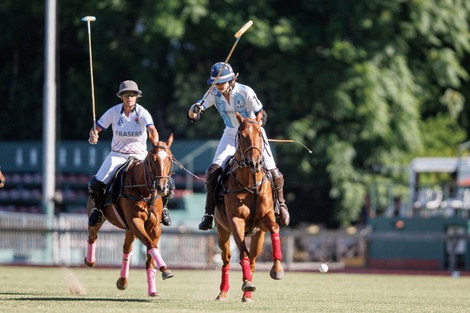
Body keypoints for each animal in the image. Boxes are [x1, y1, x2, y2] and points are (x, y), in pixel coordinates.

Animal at [84, 133, 174, 296]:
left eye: (169, 158)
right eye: (153, 158)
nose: (162, 187)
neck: (144, 190)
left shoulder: (154, 227)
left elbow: (150, 255)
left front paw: (153, 289)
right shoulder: (135, 221)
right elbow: (151, 245)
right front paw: (165, 269)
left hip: (129, 229)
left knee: (126, 248)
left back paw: (122, 281)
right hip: (100, 218)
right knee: (92, 234)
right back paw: (90, 260)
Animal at [215, 111, 284, 302]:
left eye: (260, 134)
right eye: (242, 135)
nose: (254, 163)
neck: (251, 184)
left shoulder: (265, 218)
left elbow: (275, 227)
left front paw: (277, 270)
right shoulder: (236, 220)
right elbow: (242, 254)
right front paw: (246, 283)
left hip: (258, 235)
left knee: (253, 259)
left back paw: (247, 295)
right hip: (222, 230)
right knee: (227, 259)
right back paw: (223, 292)